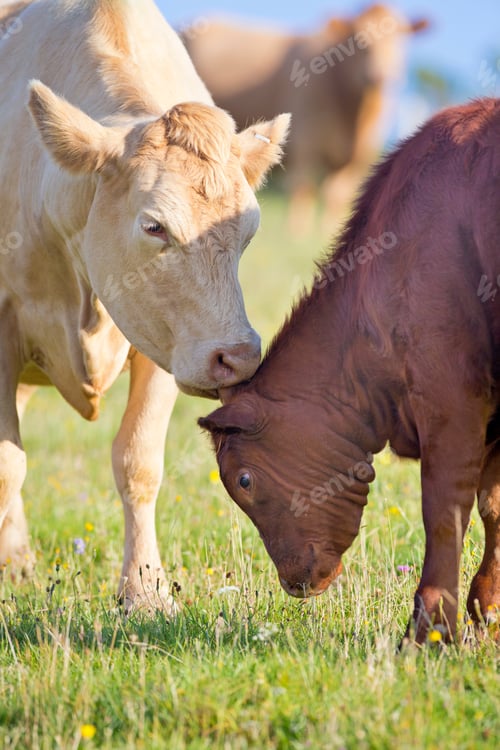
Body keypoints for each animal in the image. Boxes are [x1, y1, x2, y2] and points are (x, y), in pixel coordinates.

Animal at [0, 0, 290, 613]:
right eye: (154, 226)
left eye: (249, 227)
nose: (238, 356)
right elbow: (7, 465)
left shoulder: (165, 341)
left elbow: (138, 461)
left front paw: (144, 589)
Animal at [185, 5, 427, 235]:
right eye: (358, 39)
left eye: (401, 38)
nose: (379, 75)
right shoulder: (305, 145)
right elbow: (303, 188)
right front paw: (297, 233)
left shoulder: (359, 158)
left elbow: (336, 195)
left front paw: (327, 230)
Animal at [200, 99, 500, 644]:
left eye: (244, 480)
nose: (293, 583)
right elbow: (494, 507)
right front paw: (486, 610)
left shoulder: (452, 397)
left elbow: (445, 511)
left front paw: (429, 630)